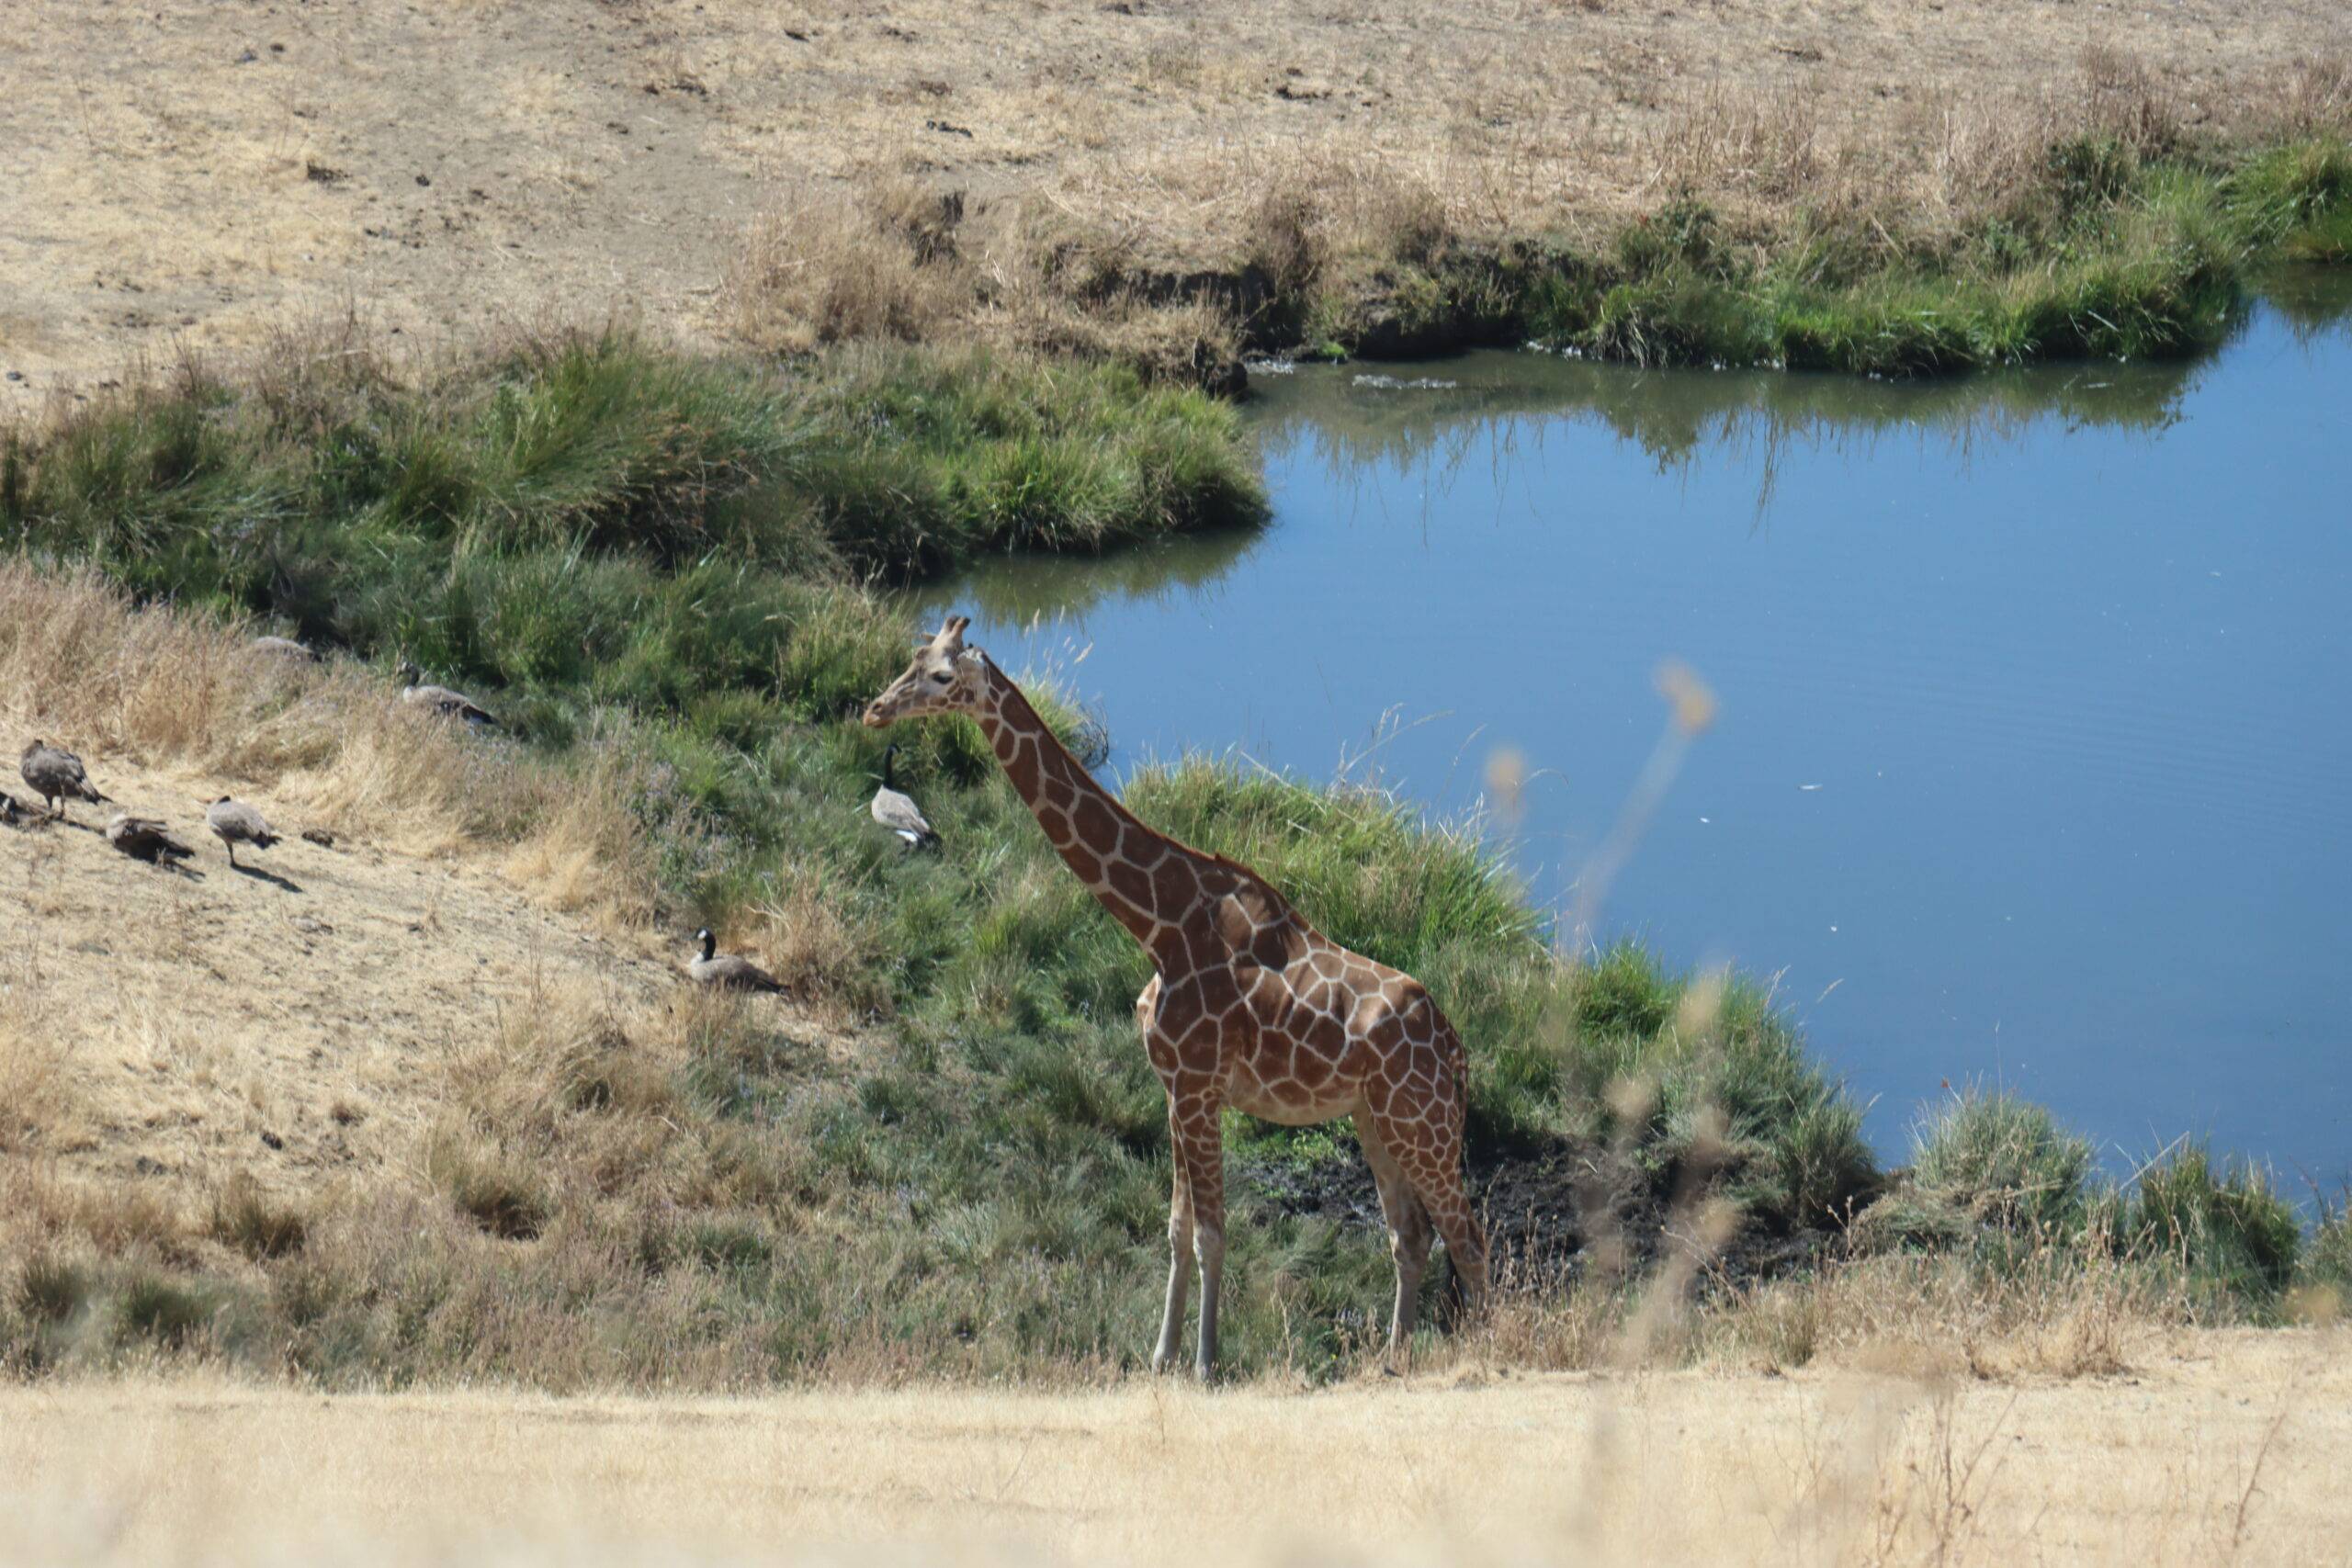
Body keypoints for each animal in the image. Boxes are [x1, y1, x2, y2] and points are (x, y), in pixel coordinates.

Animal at [865, 620, 1486, 1382]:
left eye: (943, 678)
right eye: (912, 659)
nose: (874, 710)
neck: (1158, 925)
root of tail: (1456, 1049)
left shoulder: (1198, 1085)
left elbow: (1212, 1233)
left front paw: (1205, 1364)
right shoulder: (1172, 1086)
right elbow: (1176, 1226)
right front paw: (1160, 1355)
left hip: (1425, 1122)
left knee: (1469, 1237)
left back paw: (1491, 1346)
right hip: (1377, 1117)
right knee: (1411, 1234)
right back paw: (1392, 1361)